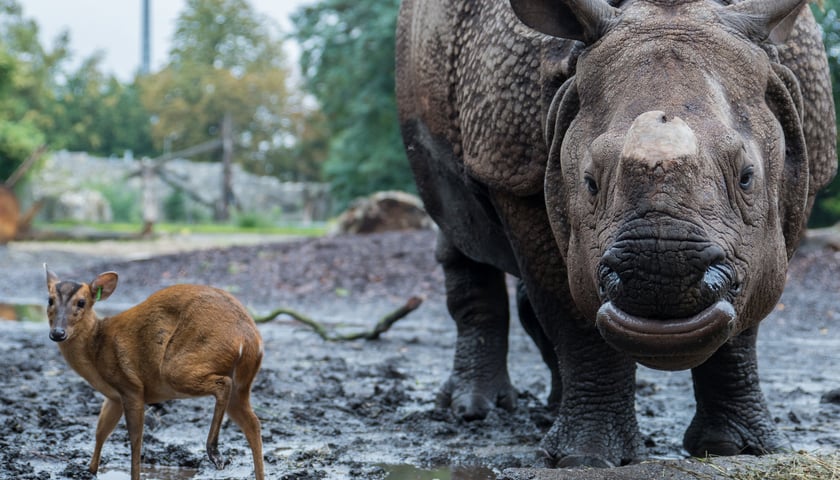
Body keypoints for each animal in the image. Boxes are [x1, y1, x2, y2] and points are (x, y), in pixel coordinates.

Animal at [43, 266, 266, 480]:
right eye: (50, 300)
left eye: (81, 302)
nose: (58, 333)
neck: (95, 349)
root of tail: (248, 337)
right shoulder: (114, 397)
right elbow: (101, 431)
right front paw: (89, 472)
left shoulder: (130, 386)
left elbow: (135, 439)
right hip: (242, 382)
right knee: (253, 424)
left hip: (176, 368)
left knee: (223, 385)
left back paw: (214, 452)